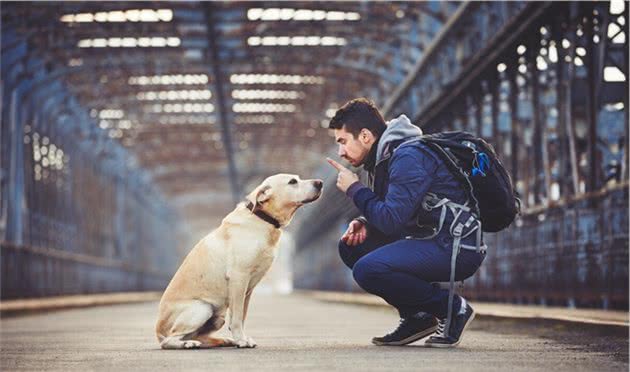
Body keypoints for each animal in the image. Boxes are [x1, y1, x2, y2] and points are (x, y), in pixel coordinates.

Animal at [156, 174, 324, 348]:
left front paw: (240, 338)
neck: (262, 219)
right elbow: (237, 317)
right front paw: (241, 340)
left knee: (198, 335)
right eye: (292, 182)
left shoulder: (248, 289)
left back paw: (222, 340)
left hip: (218, 317)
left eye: (297, 178)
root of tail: (158, 331)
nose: (320, 183)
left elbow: (242, 316)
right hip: (202, 308)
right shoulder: (239, 278)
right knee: (169, 339)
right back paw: (187, 344)